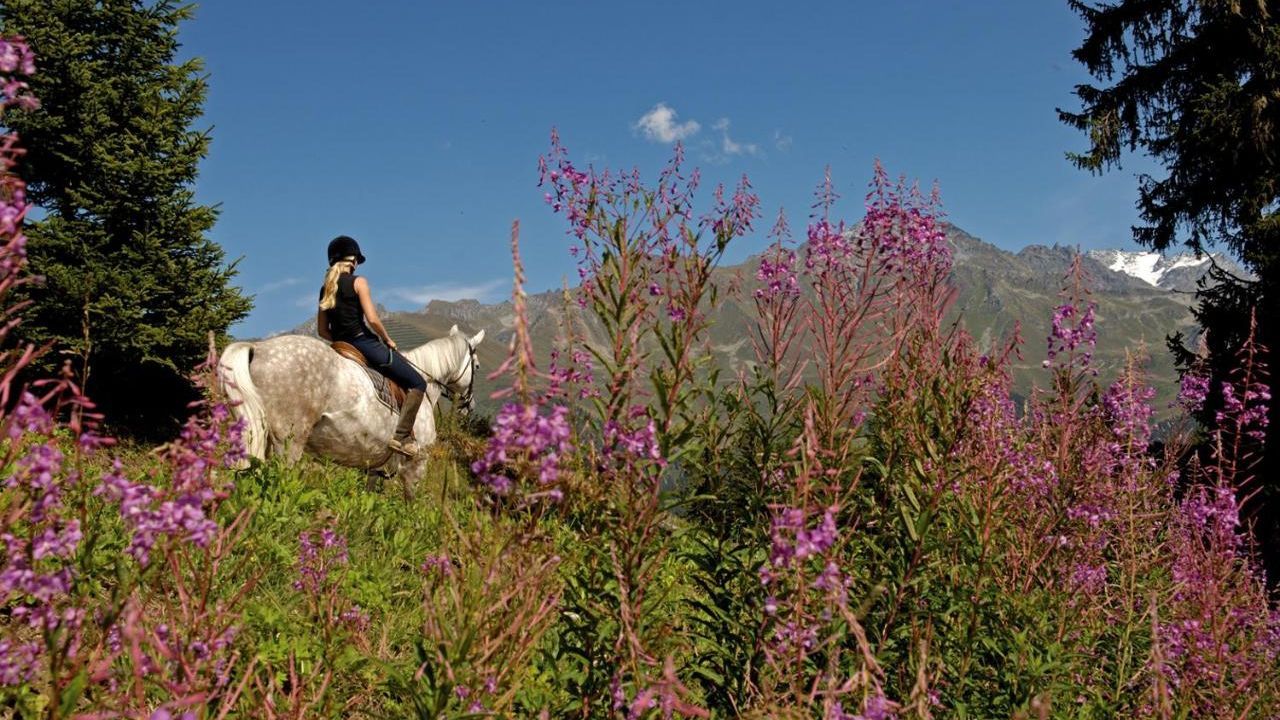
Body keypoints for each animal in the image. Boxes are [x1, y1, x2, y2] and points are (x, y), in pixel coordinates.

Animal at [217, 325, 484, 486]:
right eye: (477, 367)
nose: (469, 407)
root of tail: (258, 348)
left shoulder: (376, 468)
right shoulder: (416, 463)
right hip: (288, 442)